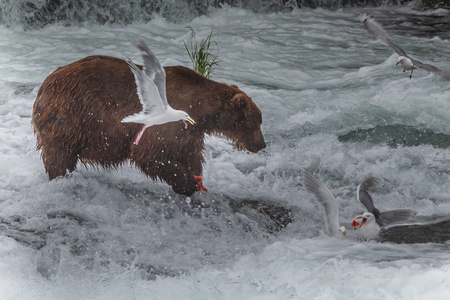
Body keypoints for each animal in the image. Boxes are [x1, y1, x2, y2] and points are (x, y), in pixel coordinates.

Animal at [32, 55, 268, 197]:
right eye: (256, 122)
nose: (262, 144)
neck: (199, 109)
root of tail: (45, 83)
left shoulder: (190, 132)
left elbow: (191, 154)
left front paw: (196, 179)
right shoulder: (165, 123)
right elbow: (152, 154)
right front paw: (185, 183)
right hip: (70, 115)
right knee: (59, 154)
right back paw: (61, 178)